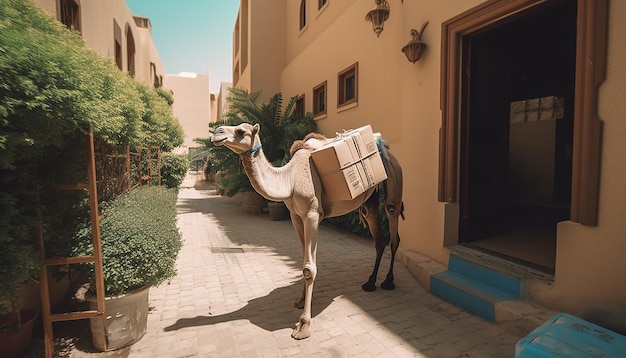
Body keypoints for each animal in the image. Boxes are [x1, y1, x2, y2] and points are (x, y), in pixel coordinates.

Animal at [212, 122, 402, 338]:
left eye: (240, 131)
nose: (216, 132)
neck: (290, 179)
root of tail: (384, 147)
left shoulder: (312, 215)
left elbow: (309, 268)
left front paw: (303, 325)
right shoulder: (296, 216)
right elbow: (304, 261)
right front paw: (301, 300)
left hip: (394, 181)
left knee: (393, 225)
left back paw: (388, 281)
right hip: (369, 200)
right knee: (378, 237)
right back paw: (370, 283)